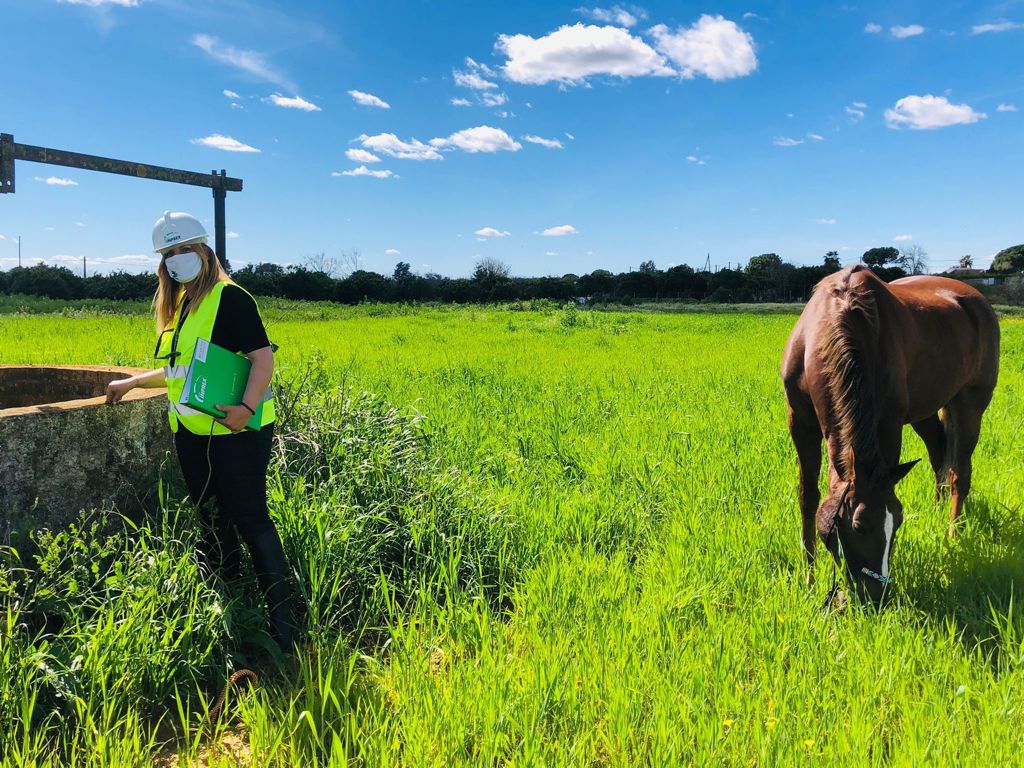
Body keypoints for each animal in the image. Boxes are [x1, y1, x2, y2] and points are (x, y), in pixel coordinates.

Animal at [782, 266, 999, 606]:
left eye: (897, 521)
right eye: (859, 527)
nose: (876, 597)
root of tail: (978, 301)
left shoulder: (887, 426)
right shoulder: (800, 422)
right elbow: (808, 497)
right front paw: (809, 576)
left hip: (971, 403)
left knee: (959, 473)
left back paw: (952, 534)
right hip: (927, 412)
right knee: (939, 454)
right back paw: (937, 514)